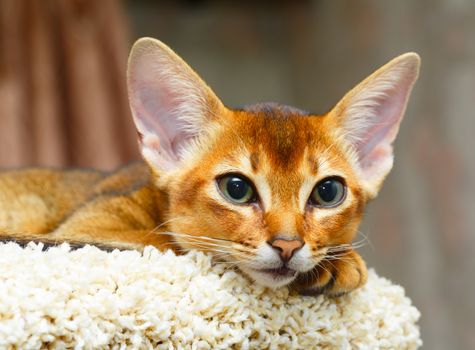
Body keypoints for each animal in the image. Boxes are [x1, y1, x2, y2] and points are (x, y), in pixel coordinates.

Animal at [0, 37, 420, 296]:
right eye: (236, 188)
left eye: (328, 192)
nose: (287, 246)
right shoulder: (89, 228)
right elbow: (173, 244)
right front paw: (340, 263)